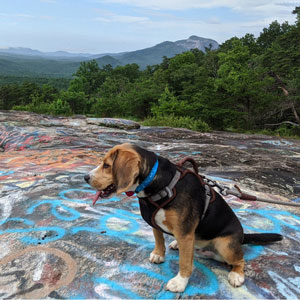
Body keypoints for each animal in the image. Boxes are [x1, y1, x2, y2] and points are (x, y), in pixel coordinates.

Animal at [85, 143, 284, 292]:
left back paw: (237, 275)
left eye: (107, 165)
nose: (85, 177)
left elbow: (185, 263)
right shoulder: (156, 224)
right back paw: (176, 244)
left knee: (239, 260)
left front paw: (180, 282)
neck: (158, 184)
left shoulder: (186, 233)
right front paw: (159, 254)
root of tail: (242, 237)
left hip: (225, 244)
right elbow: (159, 239)